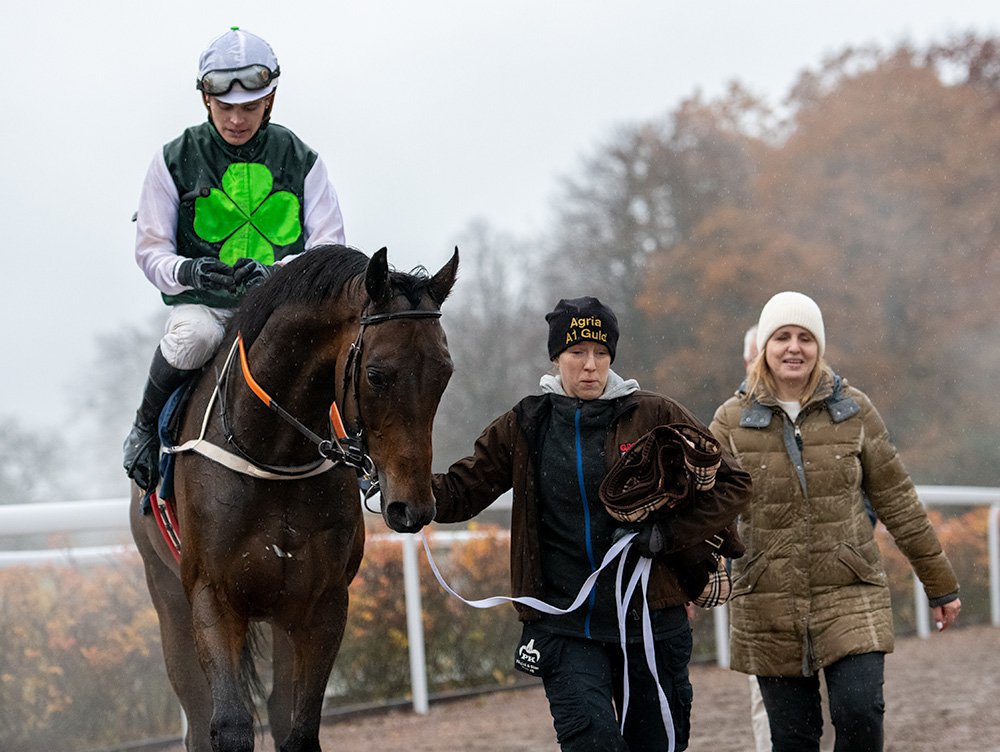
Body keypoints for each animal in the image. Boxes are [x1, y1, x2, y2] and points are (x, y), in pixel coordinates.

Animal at [130, 244, 460, 748]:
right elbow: (229, 725)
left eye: (444, 372)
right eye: (377, 374)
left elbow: (300, 728)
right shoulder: (212, 596)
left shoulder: (321, 603)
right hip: (168, 599)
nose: (413, 506)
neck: (272, 455)